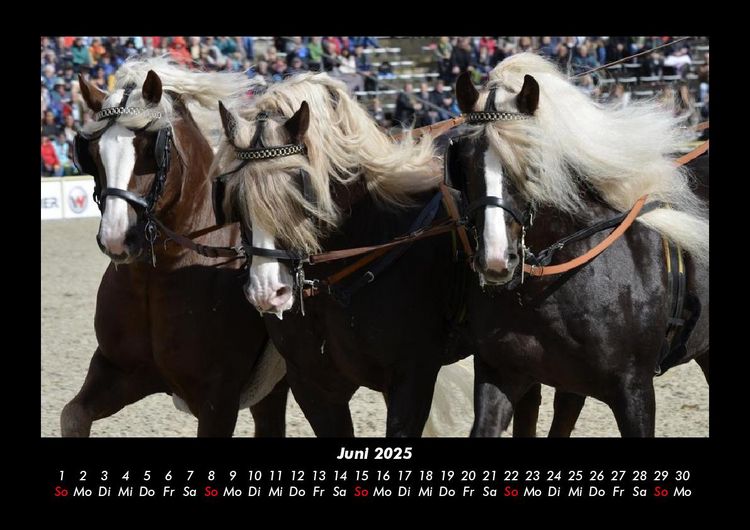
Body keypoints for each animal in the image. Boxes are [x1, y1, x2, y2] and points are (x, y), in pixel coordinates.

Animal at [60, 58, 287, 437]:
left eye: (150, 146)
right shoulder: (118, 372)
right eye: (92, 152)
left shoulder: (219, 400)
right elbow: (73, 415)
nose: (117, 238)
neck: (158, 276)